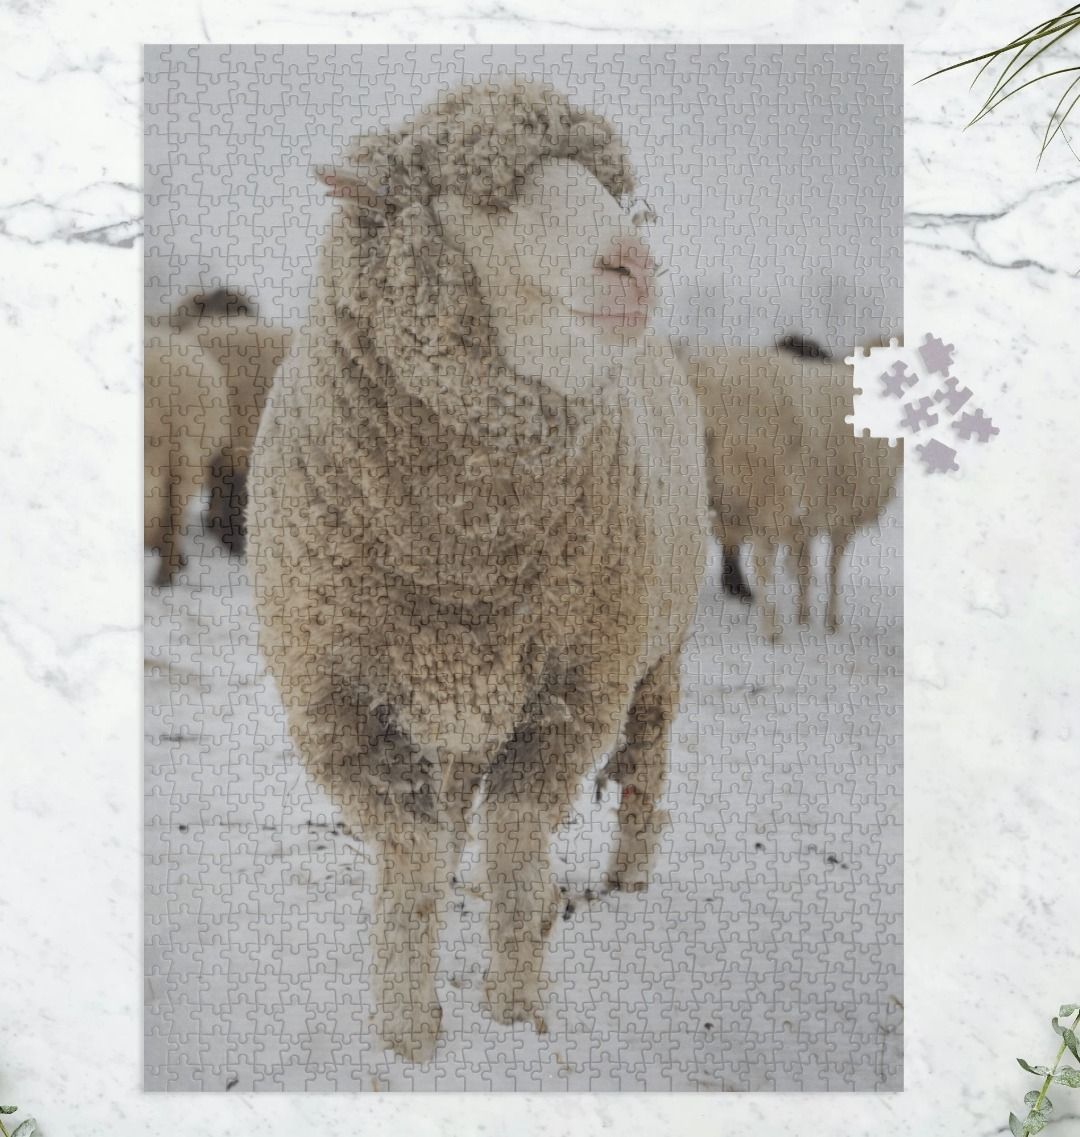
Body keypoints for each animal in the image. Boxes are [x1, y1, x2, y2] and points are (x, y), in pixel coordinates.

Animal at [247, 80, 709, 1061]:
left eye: (611, 186)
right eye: (485, 201)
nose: (634, 265)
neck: (465, 557)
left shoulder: (577, 691)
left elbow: (518, 842)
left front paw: (515, 1008)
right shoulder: (333, 705)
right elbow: (414, 853)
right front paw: (408, 1029)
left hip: (659, 651)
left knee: (644, 764)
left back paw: (629, 874)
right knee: (454, 803)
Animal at [687, 342, 901, 638]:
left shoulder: (805, 518)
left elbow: (805, 567)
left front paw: (804, 618)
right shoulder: (842, 514)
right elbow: (833, 568)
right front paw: (831, 622)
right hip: (764, 492)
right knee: (762, 565)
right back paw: (772, 631)